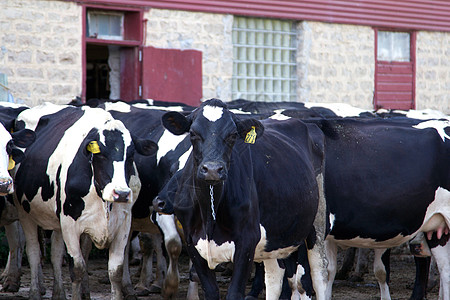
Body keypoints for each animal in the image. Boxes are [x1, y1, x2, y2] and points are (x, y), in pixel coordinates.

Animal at [13, 103, 157, 300]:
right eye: (101, 154)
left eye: (131, 154)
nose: (121, 193)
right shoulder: (70, 224)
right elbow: (78, 269)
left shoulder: (123, 225)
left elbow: (115, 271)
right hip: (25, 212)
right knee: (34, 252)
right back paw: (35, 292)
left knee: (56, 254)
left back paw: (60, 293)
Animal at [160, 99, 328, 300]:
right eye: (193, 133)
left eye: (233, 135)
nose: (213, 170)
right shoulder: (192, 242)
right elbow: (211, 291)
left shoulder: (247, 241)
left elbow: (235, 292)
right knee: (275, 277)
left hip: (316, 225)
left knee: (318, 276)